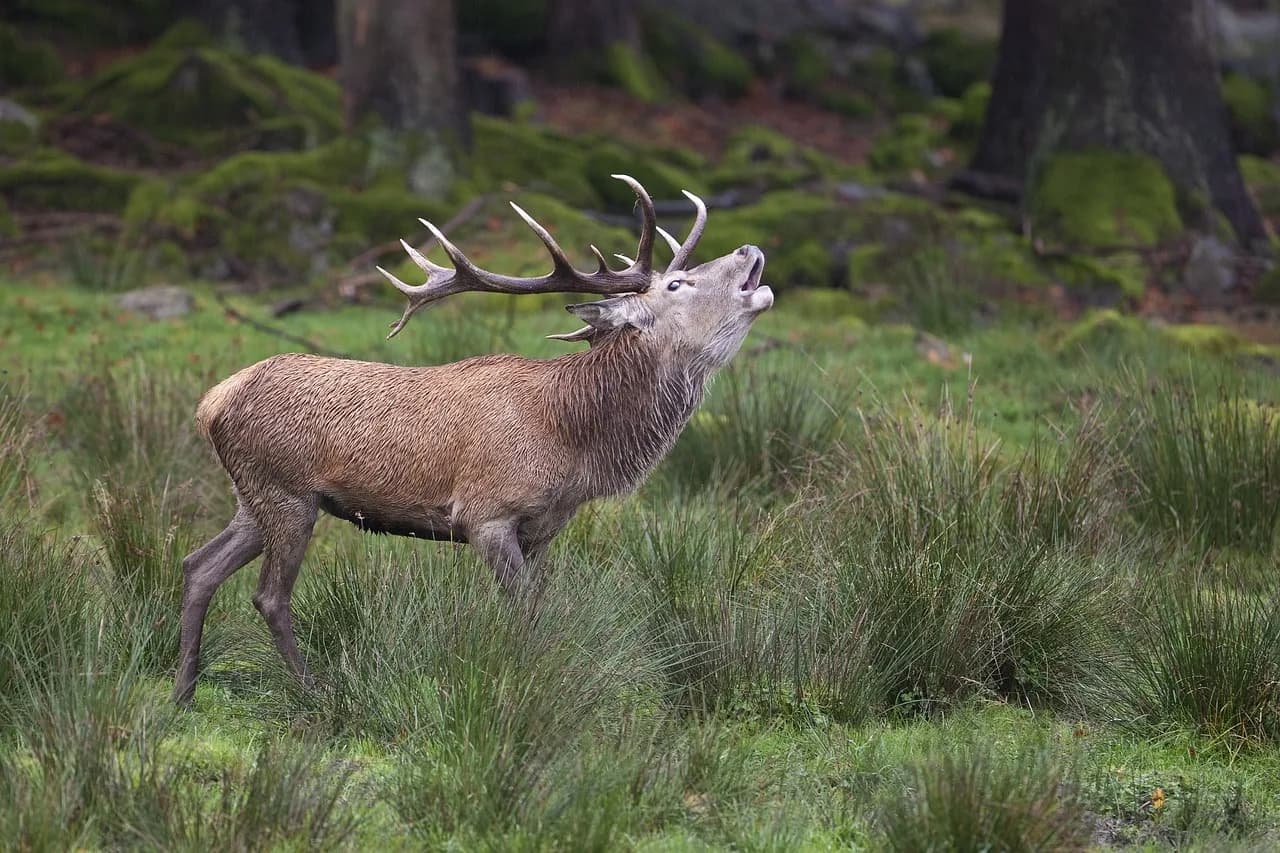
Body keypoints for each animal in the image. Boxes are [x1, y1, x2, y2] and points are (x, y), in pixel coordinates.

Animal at [173, 175, 773, 704]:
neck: (573, 443)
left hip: (253, 496)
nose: (748, 249)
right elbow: (525, 613)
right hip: (286, 493)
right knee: (269, 596)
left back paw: (184, 690)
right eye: (677, 283)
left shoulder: (544, 530)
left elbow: (539, 609)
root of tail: (213, 402)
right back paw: (313, 691)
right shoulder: (486, 514)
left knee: (198, 565)